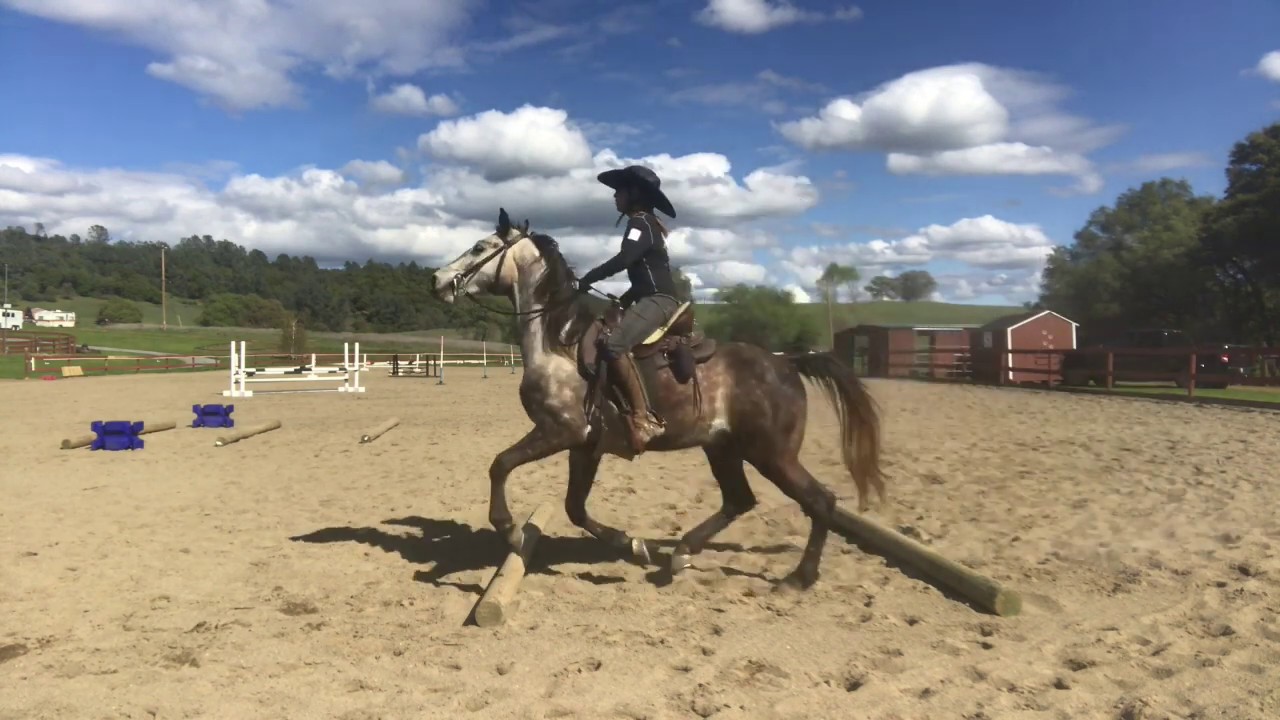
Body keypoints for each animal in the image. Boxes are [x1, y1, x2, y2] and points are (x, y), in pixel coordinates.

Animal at [428, 208, 885, 590]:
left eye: (481, 247)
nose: (436, 280)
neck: (559, 343)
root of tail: (785, 362)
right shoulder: (585, 445)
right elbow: (575, 507)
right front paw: (632, 546)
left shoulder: (560, 431)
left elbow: (501, 465)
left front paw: (510, 529)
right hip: (724, 449)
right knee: (739, 500)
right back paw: (680, 554)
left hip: (772, 454)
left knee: (819, 501)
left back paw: (798, 579)